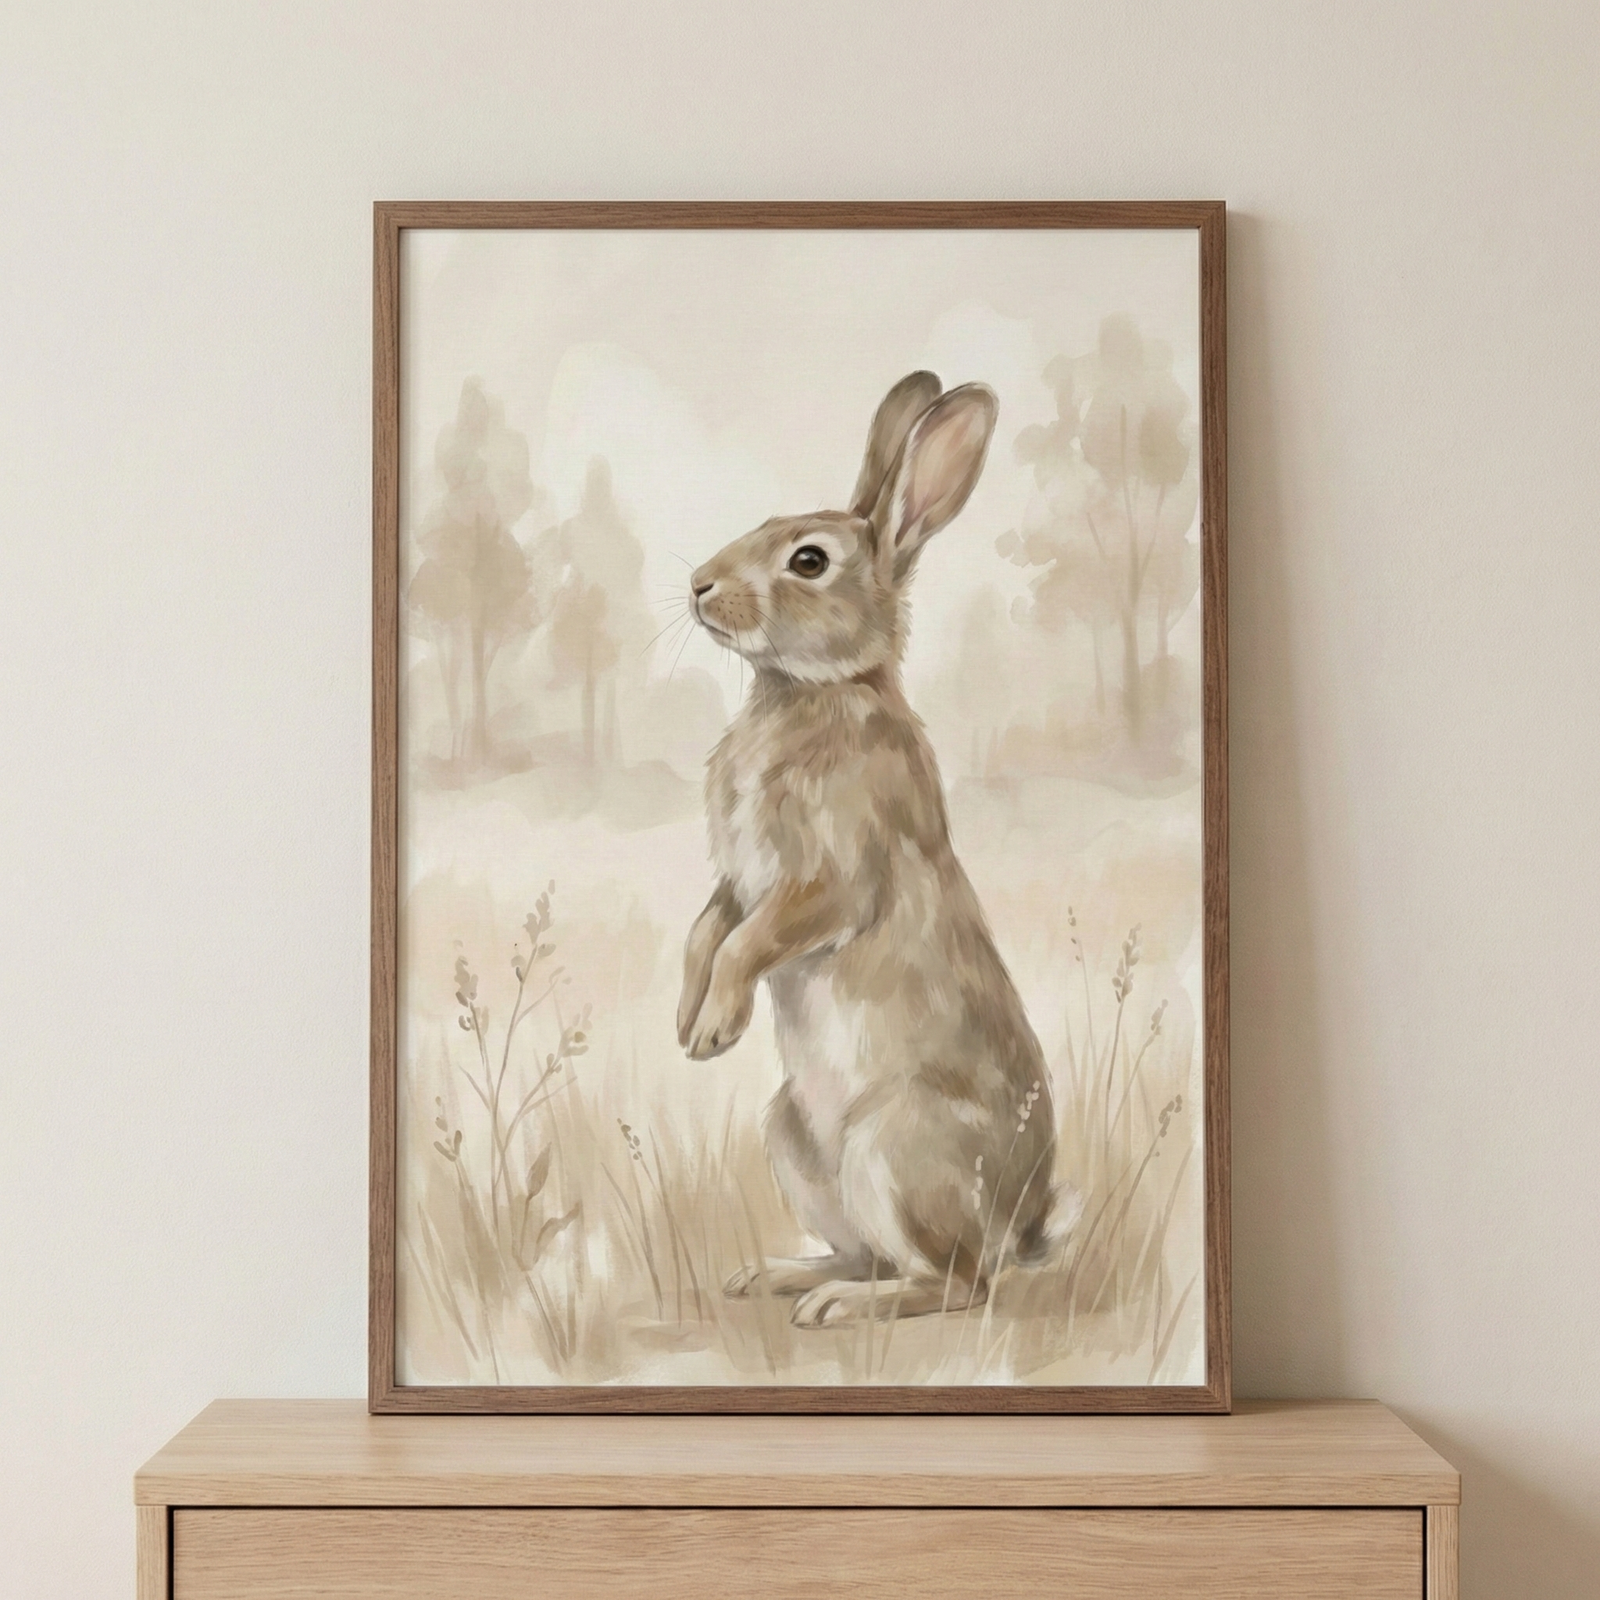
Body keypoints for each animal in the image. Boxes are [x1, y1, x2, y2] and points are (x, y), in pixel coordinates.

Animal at [677, 371, 1066, 1329]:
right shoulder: (738, 878)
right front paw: (689, 1026)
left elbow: (747, 944)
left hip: (894, 1147)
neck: (813, 690)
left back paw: (838, 1310)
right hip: (794, 1140)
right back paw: (776, 1278)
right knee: (869, 1252)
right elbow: (707, 934)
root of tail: (1024, 1224)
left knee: (957, 1284)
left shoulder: (831, 879)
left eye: (808, 561)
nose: (699, 584)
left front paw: (716, 1026)